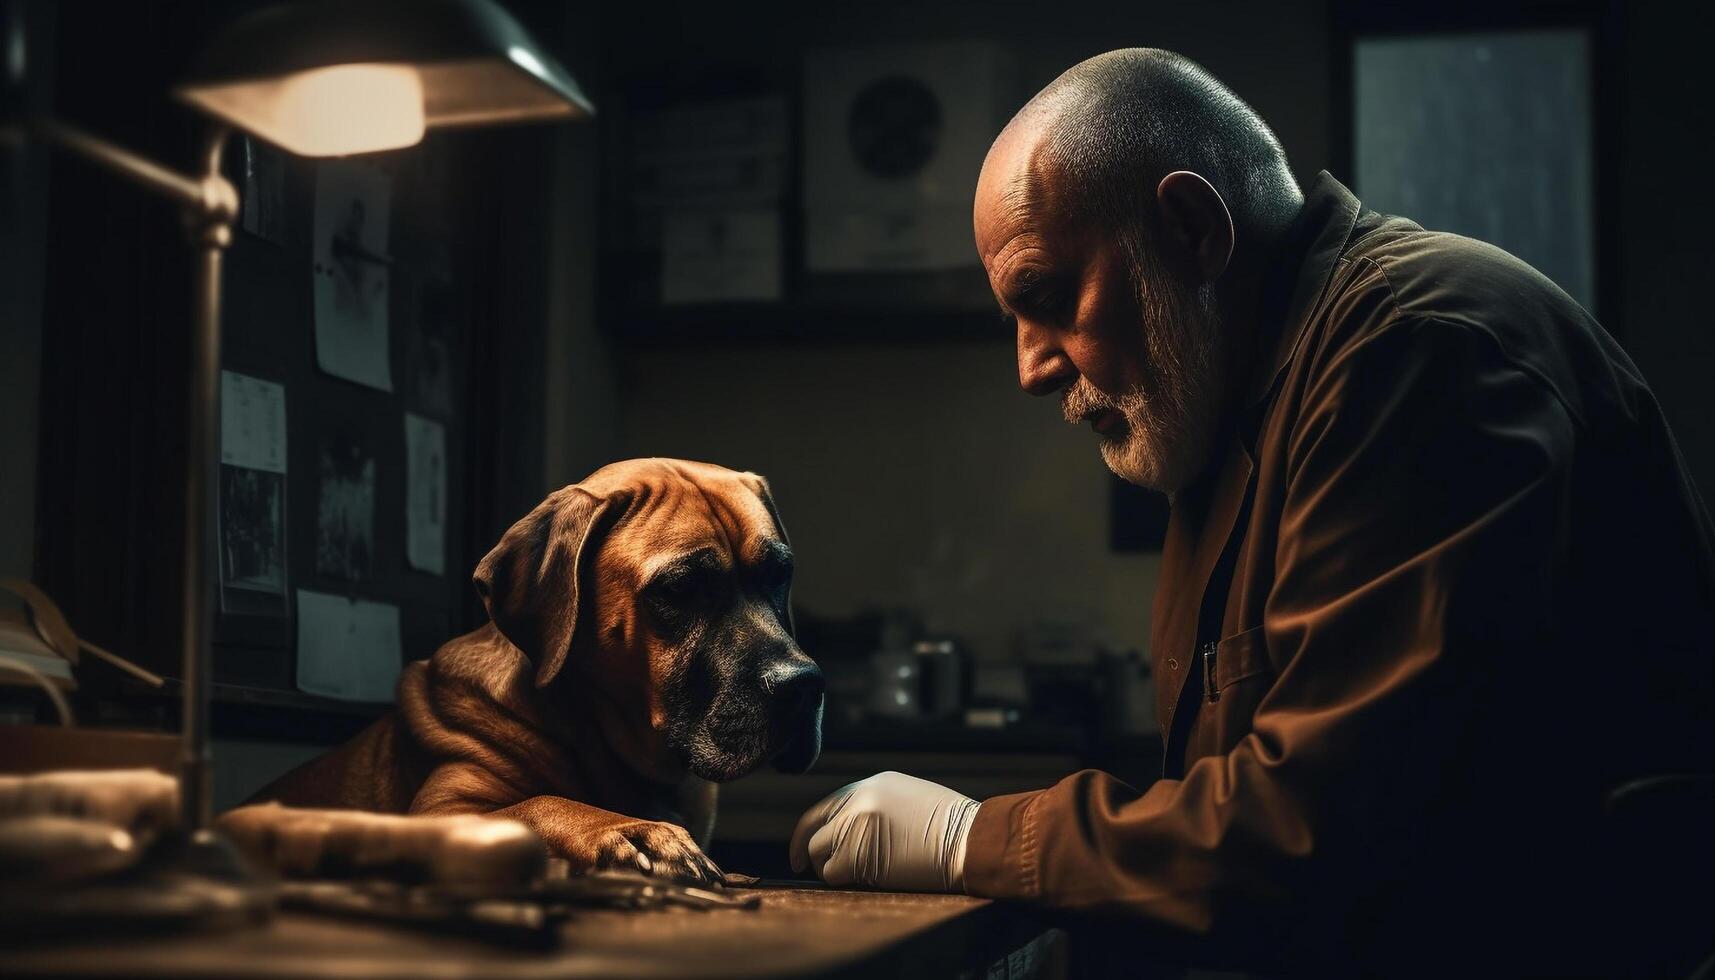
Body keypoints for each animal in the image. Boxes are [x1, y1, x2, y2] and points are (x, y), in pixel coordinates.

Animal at [246, 459, 823, 878]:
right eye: (680, 589)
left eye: (781, 573)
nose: (804, 685)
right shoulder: (439, 807)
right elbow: (538, 802)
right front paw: (632, 829)